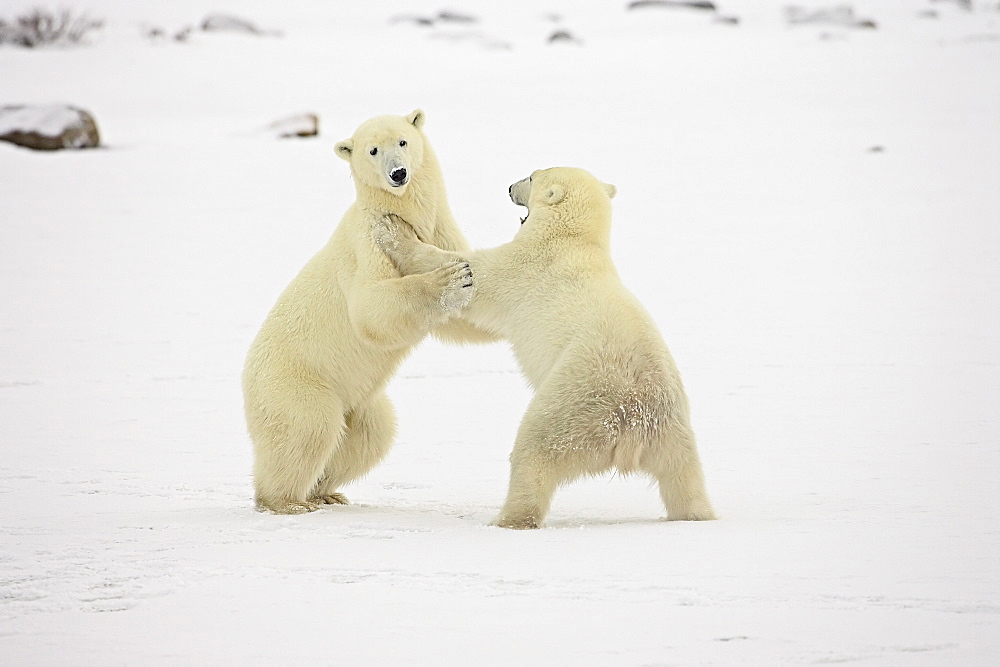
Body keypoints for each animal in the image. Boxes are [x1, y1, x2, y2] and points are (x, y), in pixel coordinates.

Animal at [242, 111, 492, 516]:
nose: (398, 174)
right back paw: (287, 502)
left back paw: (325, 492)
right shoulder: (368, 240)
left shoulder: (441, 229)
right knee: (309, 427)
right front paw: (451, 279)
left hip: (359, 402)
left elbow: (463, 323)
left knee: (371, 434)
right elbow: (370, 308)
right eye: (373, 150)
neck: (403, 213)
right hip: (295, 380)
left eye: (402, 141)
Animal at [374, 166, 712, 528]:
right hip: (673, 434)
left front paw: (393, 229)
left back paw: (506, 518)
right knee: (683, 478)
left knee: (534, 448)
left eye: (532, 176)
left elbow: (474, 275)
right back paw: (696, 513)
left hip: (574, 404)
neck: (571, 241)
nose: (509, 187)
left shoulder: (524, 266)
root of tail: (632, 425)